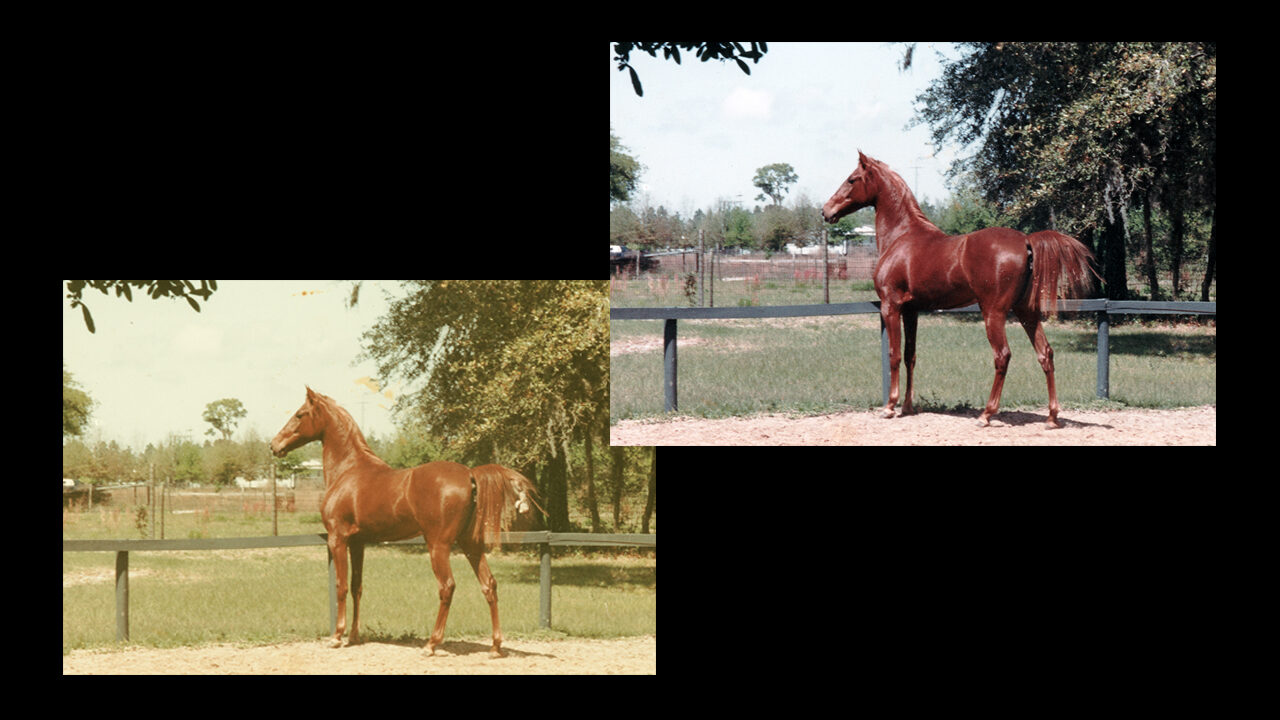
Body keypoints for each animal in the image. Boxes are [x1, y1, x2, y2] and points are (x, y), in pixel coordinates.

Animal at [270, 386, 540, 657]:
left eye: (300, 414)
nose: (274, 445)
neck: (348, 471)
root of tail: (470, 474)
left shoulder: (338, 539)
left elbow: (341, 586)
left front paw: (337, 636)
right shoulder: (358, 543)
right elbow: (357, 586)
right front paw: (355, 636)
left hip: (438, 546)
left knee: (447, 587)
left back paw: (431, 644)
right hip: (470, 545)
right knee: (489, 585)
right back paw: (495, 646)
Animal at [821, 151, 1098, 428]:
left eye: (852, 179)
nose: (825, 210)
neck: (901, 237)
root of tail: (1026, 241)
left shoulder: (891, 306)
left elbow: (894, 355)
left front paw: (890, 406)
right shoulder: (912, 311)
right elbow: (911, 355)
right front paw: (908, 406)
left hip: (994, 313)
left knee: (1002, 356)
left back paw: (986, 414)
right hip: (1026, 312)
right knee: (1045, 353)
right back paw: (1052, 417)